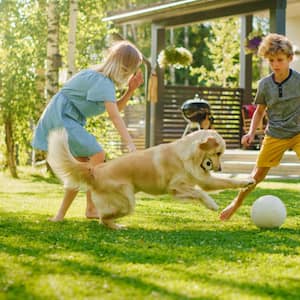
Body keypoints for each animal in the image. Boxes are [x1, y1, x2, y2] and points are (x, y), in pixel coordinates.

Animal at [46, 127, 253, 229]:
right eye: (218, 153)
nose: (220, 167)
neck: (188, 154)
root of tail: (95, 171)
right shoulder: (176, 187)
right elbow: (201, 193)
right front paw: (212, 204)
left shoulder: (200, 181)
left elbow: (227, 181)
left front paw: (247, 180)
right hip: (127, 201)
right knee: (104, 218)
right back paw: (117, 226)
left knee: (103, 218)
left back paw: (116, 225)